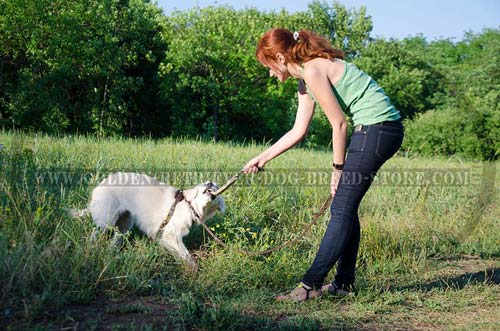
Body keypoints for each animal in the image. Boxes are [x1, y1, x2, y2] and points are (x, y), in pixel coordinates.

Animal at [72, 172, 225, 266]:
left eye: (217, 186)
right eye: (206, 183)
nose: (211, 183)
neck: (190, 206)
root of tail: (100, 184)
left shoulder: (163, 237)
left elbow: (180, 255)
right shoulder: (171, 235)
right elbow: (187, 257)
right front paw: (193, 271)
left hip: (125, 223)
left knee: (115, 239)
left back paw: (111, 254)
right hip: (106, 221)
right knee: (94, 234)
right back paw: (87, 252)